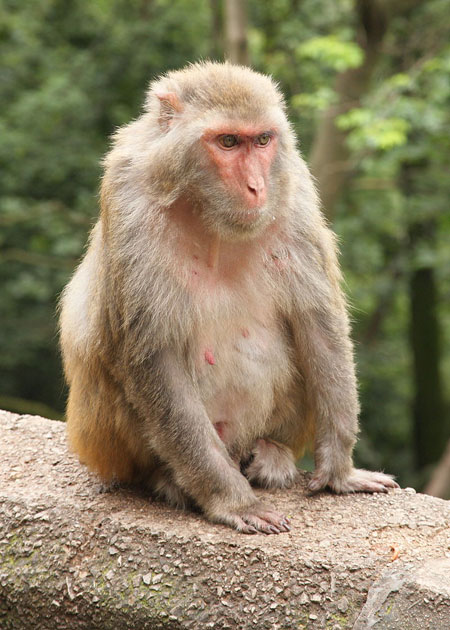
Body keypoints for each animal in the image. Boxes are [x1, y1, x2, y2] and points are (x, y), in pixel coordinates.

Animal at [59, 61, 398, 536]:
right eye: (228, 142)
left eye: (262, 140)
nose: (256, 186)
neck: (207, 213)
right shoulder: (128, 198)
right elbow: (154, 357)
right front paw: (234, 502)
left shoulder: (293, 189)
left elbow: (318, 323)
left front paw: (339, 473)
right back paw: (169, 479)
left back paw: (271, 452)